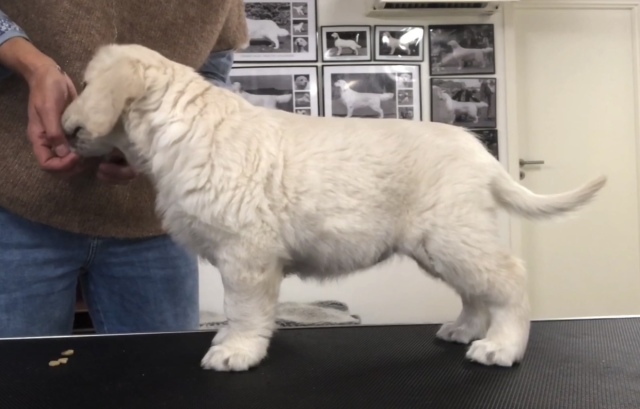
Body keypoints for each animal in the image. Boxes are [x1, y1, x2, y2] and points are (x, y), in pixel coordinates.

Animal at [62, 44, 607, 372]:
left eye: (85, 86)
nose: (65, 127)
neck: (183, 127)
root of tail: (482, 154)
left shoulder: (246, 256)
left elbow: (244, 310)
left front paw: (236, 351)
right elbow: (239, 312)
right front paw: (228, 342)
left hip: (453, 236)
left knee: (508, 280)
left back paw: (502, 346)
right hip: (441, 245)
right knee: (476, 291)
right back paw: (463, 329)